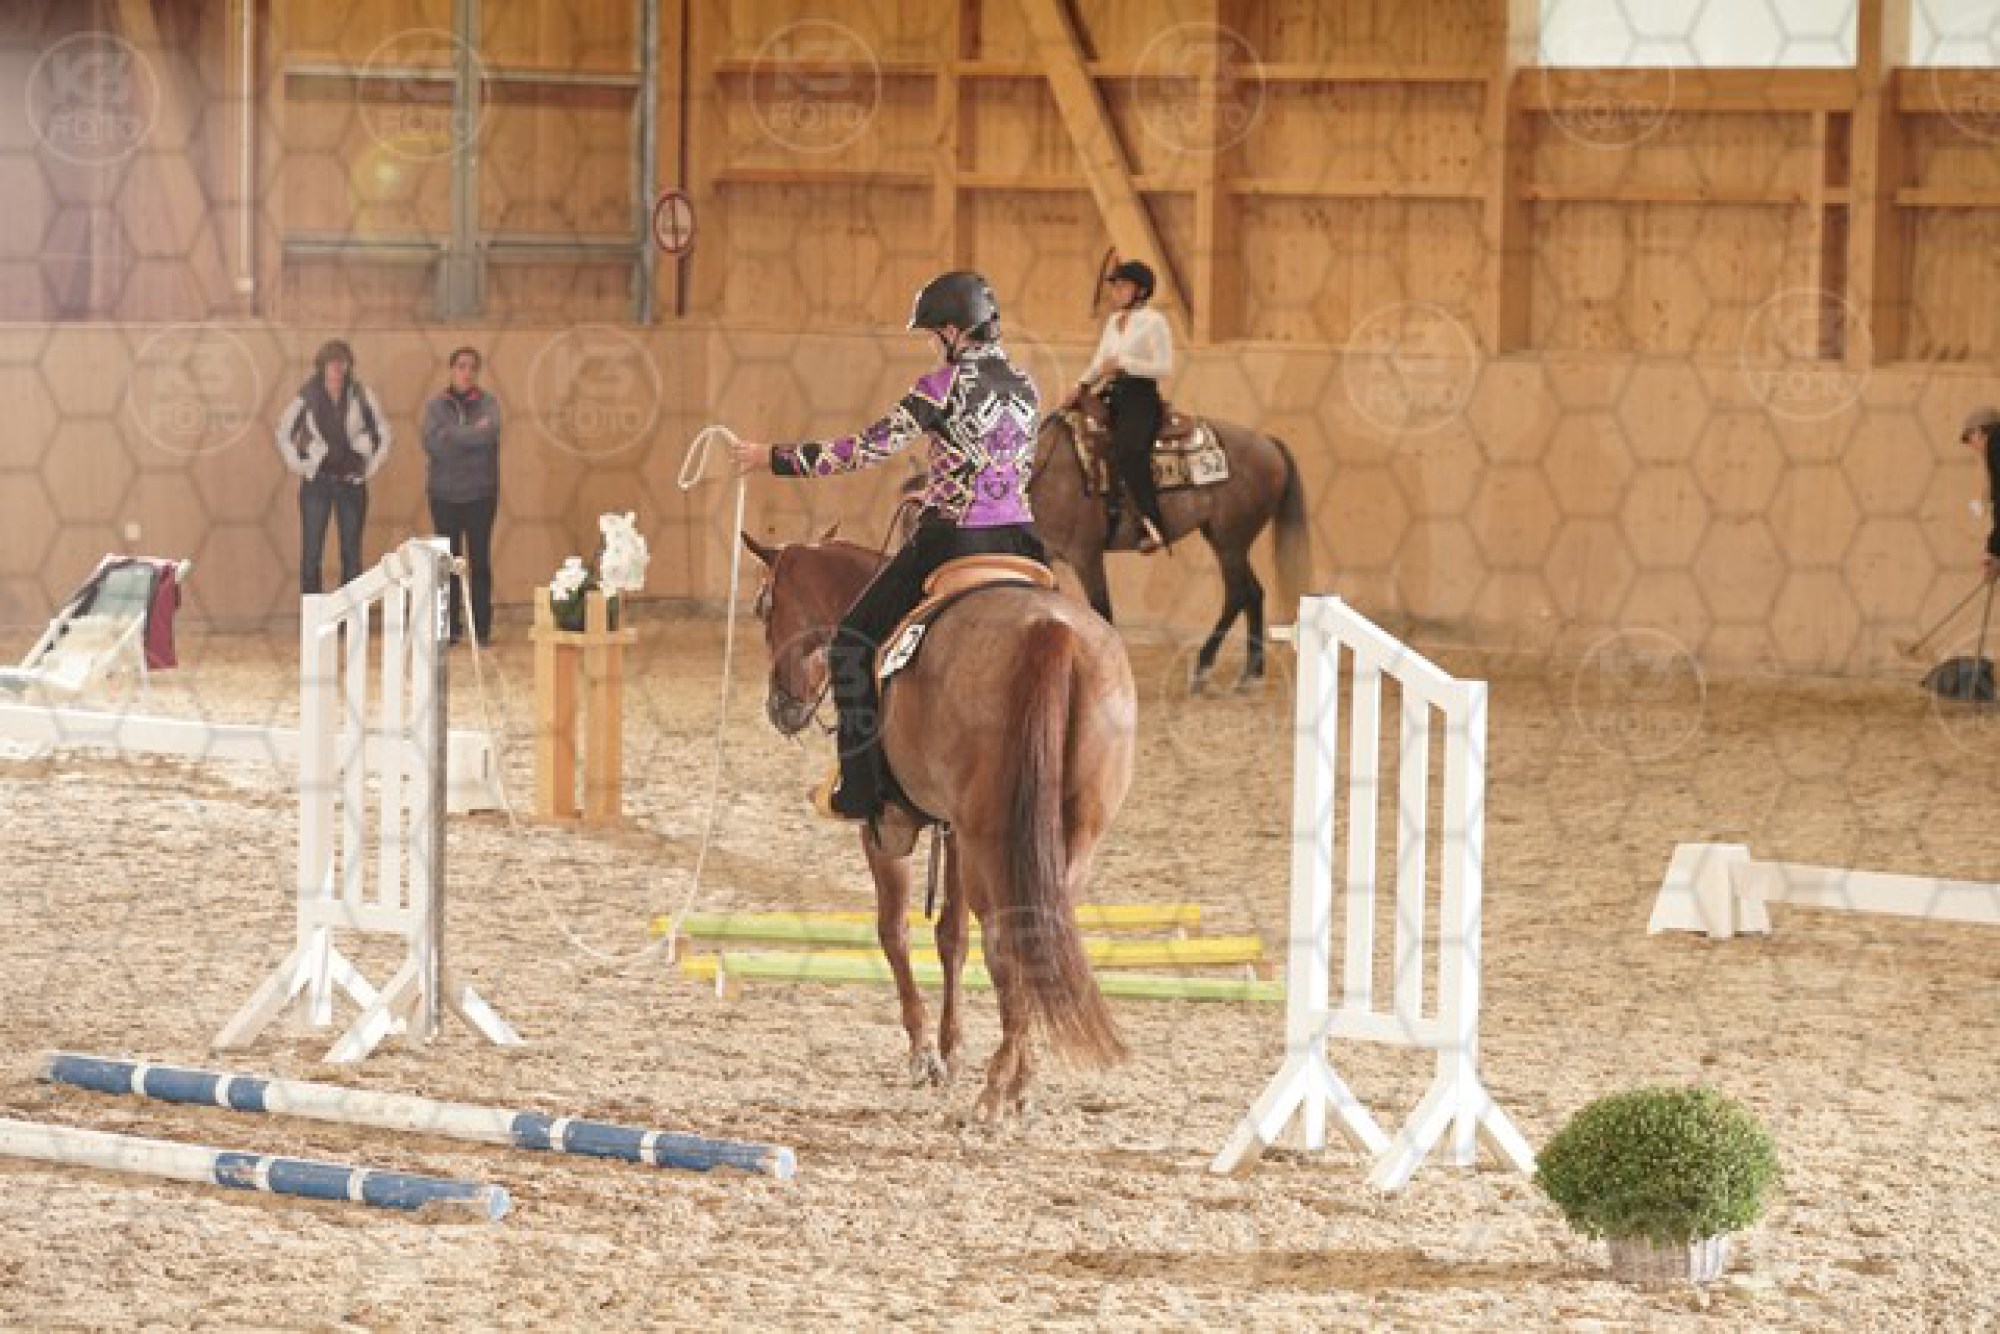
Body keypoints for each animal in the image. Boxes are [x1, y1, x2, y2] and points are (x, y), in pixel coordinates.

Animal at [739, 532, 1138, 1122]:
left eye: (764, 607)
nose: (780, 707)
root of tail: (1054, 632)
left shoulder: (888, 829)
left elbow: (894, 930)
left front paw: (923, 1054)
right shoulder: (953, 831)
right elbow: (951, 936)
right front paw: (949, 1051)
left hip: (987, 839)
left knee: (1006, 940)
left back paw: (997, 1091)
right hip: (1065, 839)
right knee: (1039, 936)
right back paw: (1020, 1081)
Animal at [1031, 411, 1312, 691]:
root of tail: (1268, 443)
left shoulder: (1086, 557)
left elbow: (1101, 613)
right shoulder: (1048, 558)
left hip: (1230, 542)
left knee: (1237, 594)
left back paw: (1204, 668)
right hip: (1226, 540)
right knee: (1254, 593)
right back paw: (1251, 674)